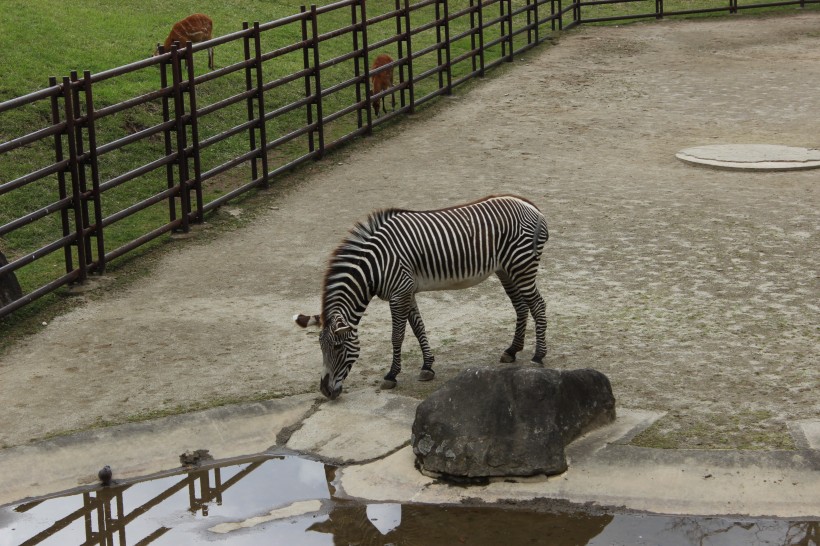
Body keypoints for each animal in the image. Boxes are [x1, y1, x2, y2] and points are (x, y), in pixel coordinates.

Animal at [294, 193, 552, 398]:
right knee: (521, 306)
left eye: (338, 348)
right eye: (321, 348)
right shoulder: (407, 291)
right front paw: (427, 367)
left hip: (522, 266)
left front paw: (392, 375)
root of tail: (532, 206)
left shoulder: (399, 293)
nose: (325, 391)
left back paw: (538, 355)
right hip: (506, 269)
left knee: (538, 305)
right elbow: (418, 327)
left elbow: (397, 336)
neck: (374, 266)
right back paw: (512, 351)